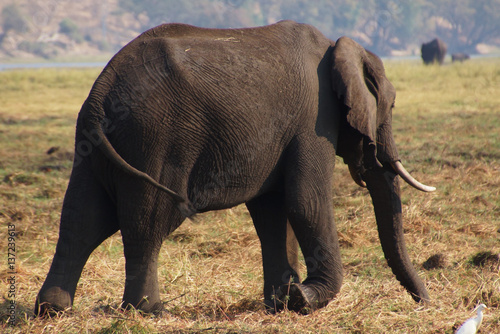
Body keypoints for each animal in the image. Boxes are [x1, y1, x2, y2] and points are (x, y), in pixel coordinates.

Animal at [34, 20, 434, 316]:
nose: (424, 303)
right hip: (155, 139)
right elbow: (305, 202)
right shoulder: (313, 120)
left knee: (82, 219)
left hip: (96, 145)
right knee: (147, 222)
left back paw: (53, 310)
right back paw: (148, 312)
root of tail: (102, 90)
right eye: (391, 106)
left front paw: (282, 302)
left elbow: (273, 210)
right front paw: (303, 299)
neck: (339, 45)